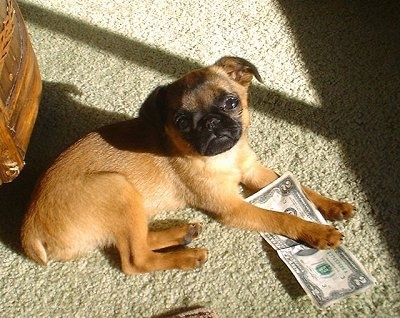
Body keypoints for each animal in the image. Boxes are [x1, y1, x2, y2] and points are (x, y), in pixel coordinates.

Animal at [21, 56, 354, 274]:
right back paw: (186, 256)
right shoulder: (233, 208)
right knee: (135, 260)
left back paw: (182, 234)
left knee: (140, 240)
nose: (210, 122)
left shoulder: (255, 171)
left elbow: (300, 185)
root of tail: (29, 229)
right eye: (181, 122)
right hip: (116, 186)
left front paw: (332, 205)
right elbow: (278, 217)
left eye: (231, 103)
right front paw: (317, 232)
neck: (225, 158)